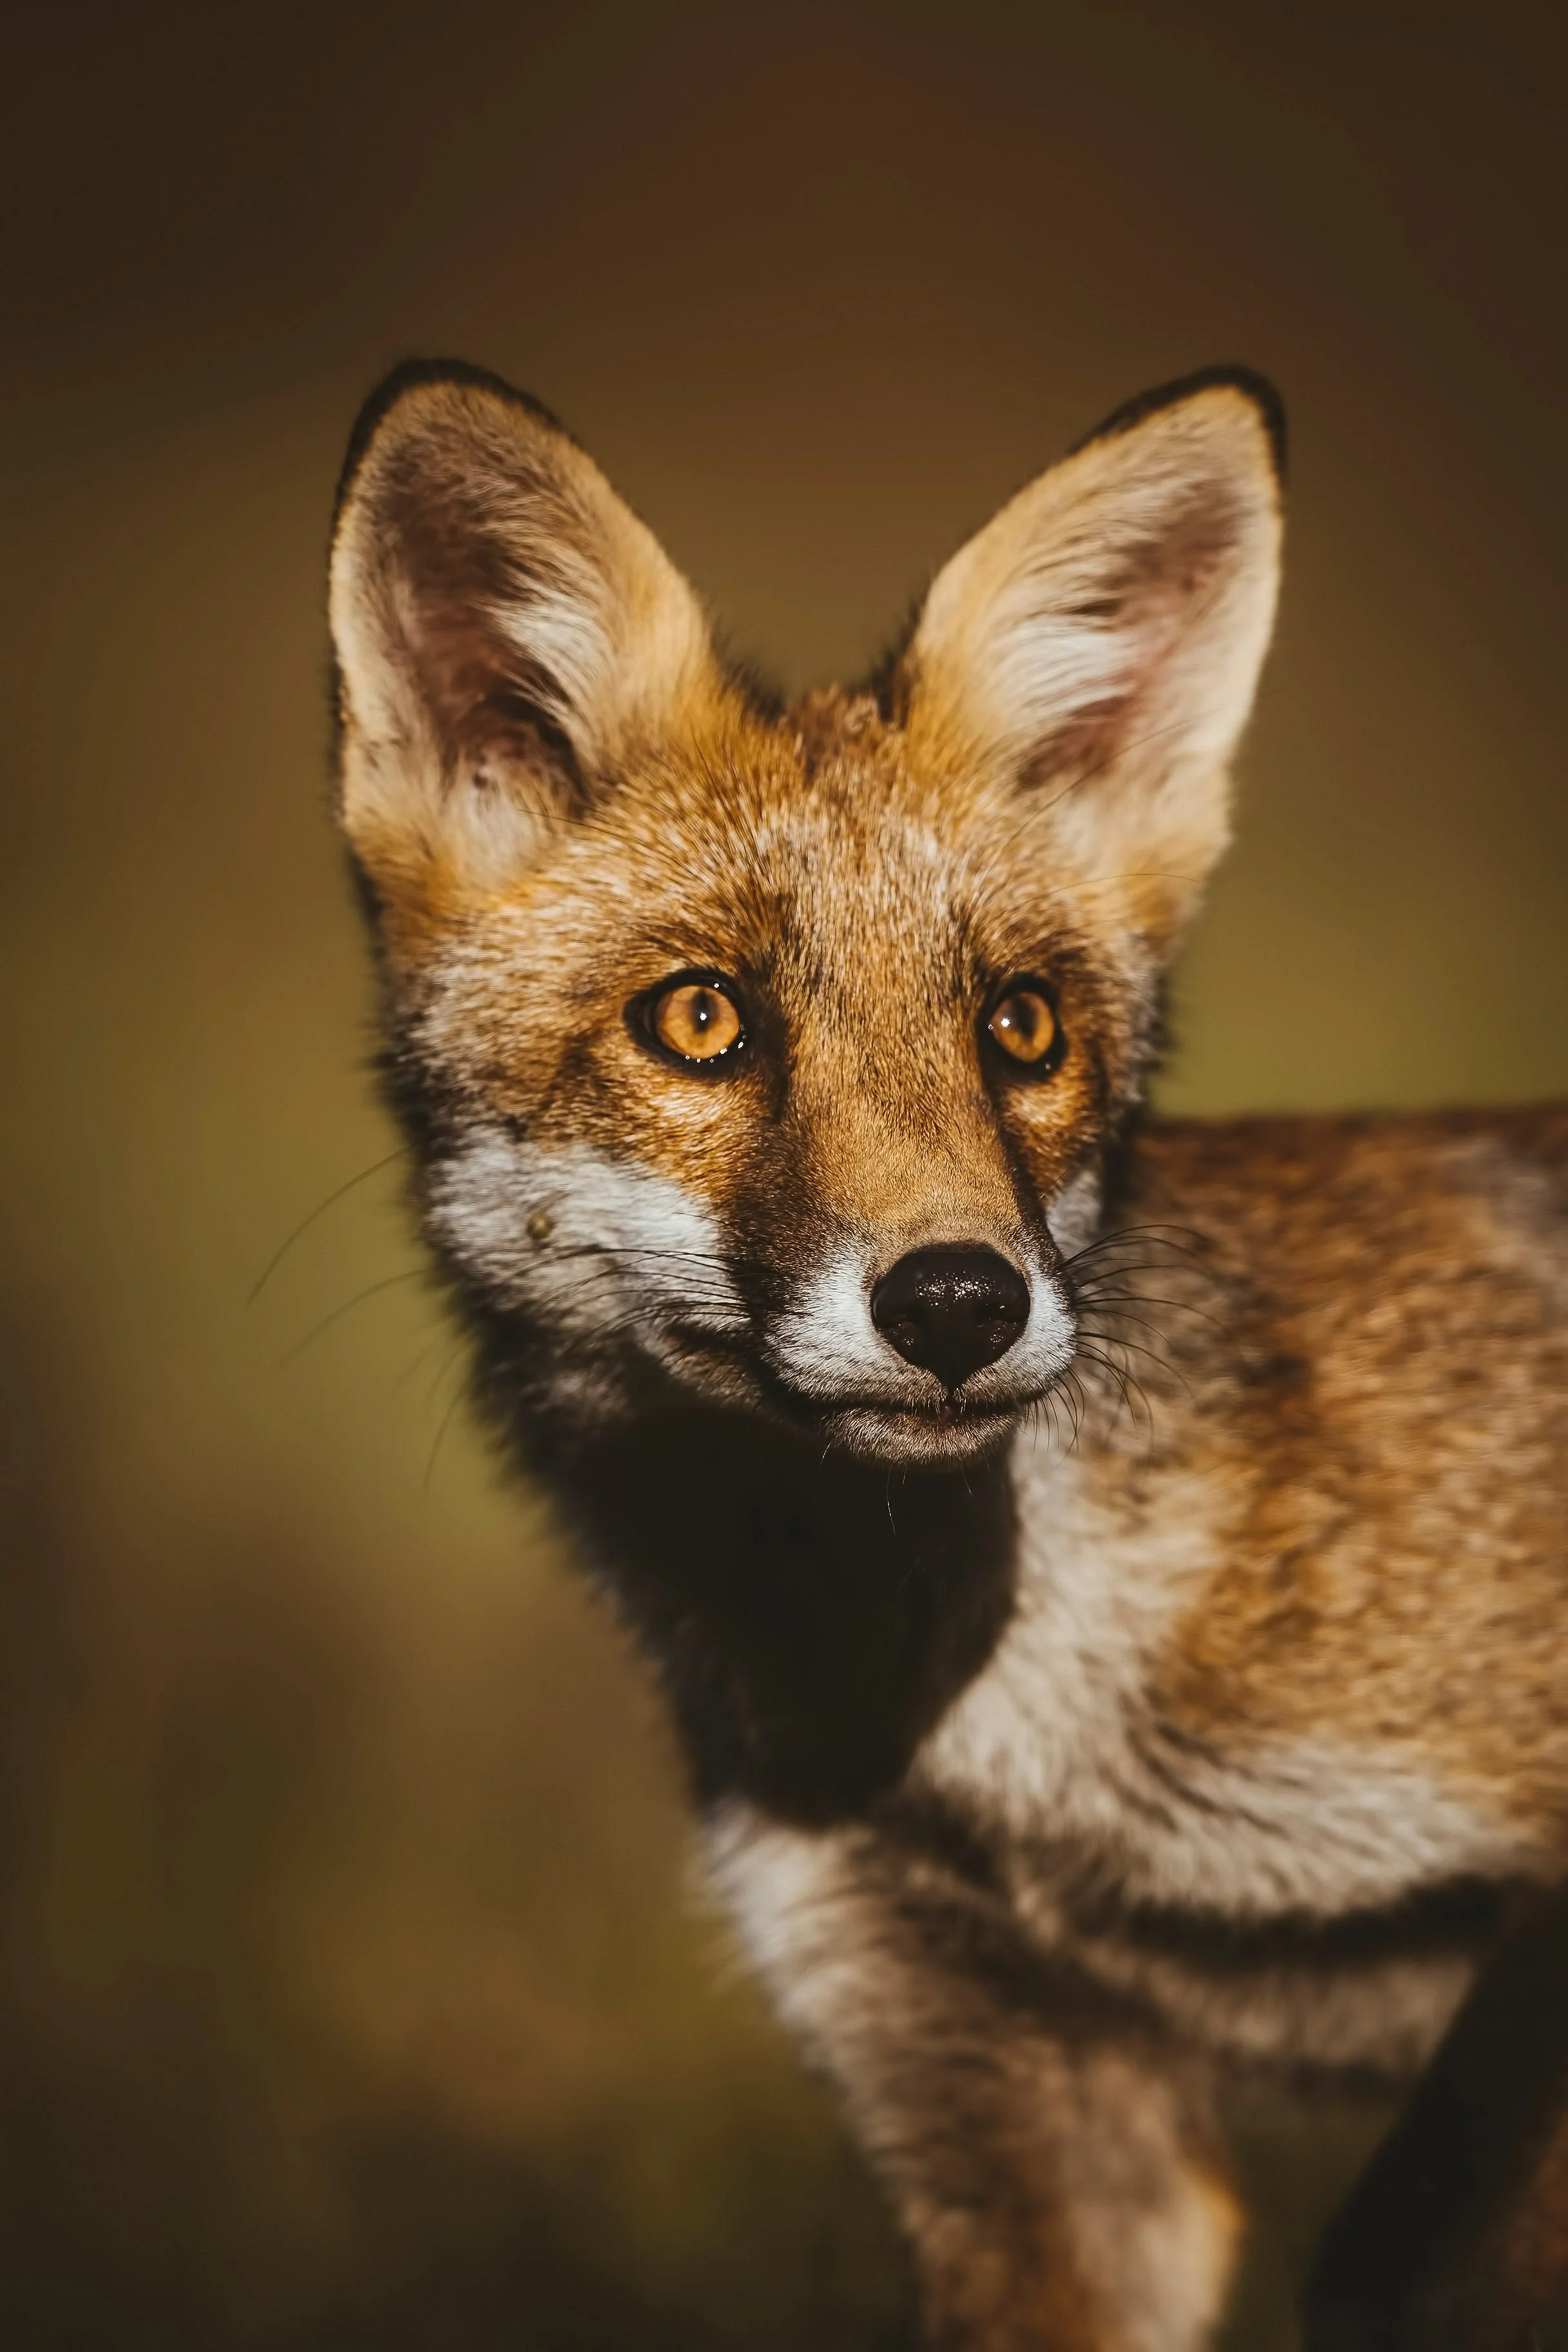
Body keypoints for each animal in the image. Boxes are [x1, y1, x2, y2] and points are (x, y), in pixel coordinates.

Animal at [326, 358, 1568, 2352]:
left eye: (1020, 1028)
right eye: (701, 1021)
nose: (962, 1302)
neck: (1000, 1761)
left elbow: (1398, 2254)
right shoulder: (1017, 2122)